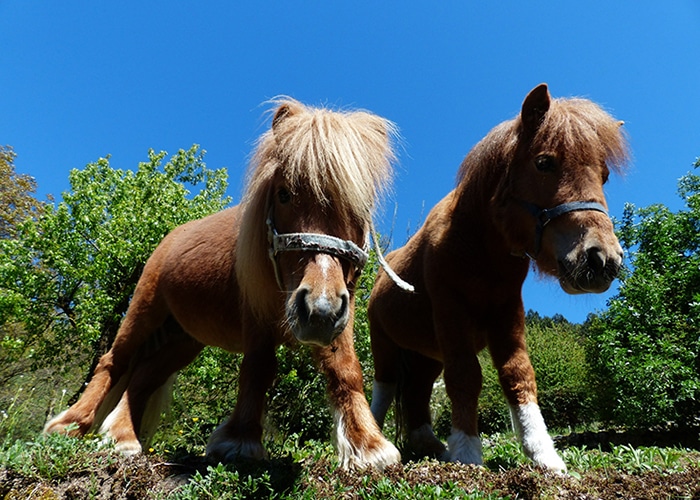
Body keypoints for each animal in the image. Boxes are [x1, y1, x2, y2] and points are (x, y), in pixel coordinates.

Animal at [43, 100, 402, 468]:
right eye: (284, 194)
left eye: (361, 205)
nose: (319, 310)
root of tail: (170, 238)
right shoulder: (257, 316)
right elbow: (258, 368)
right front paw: (239, 441)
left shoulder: (339, 312)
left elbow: (346, 370)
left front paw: (366, 444)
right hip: (145, 309)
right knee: (114, 361)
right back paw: (70, 425)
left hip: (182, 338)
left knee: (144, 376)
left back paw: (123, 436)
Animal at [366, 83, 628, 472]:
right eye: (544, 162)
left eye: (604, 175)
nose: (603, 259)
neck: (479, 248)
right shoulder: (451, 312)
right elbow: (465, 376)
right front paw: (466, 452)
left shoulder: (507, 314)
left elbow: (518, 374)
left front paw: (543, 454)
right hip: (383, 344)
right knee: (383, 389)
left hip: (426, 354)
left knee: (417, 392)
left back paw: (428, 444)